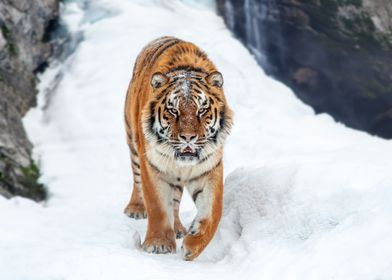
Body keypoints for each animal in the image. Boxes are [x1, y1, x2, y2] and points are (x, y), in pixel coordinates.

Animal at [124, 36, 231, 262]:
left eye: (202, 110)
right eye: (173, 110)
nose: (188, 138)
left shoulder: (209, 167)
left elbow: (213, 212)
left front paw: (193, 245)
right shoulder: (152, 165)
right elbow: (157, 206)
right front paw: (158, 245)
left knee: (174, 202)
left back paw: (179, 229)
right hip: (133, 141)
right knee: (136, 179)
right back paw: (135, 209)